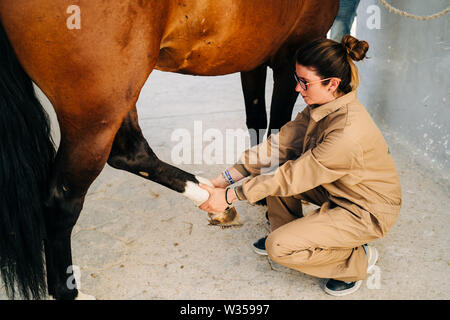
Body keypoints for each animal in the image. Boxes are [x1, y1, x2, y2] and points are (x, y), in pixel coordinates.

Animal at [0, 0, 338, 300]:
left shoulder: (253, 58)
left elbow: (257, 122)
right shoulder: (293, 54)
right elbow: (278, 128)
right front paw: (271, 202)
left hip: (119, 94)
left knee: (131, 153)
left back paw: (212, 200)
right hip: (98, 112)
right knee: (62, 199)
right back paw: (68, 292)